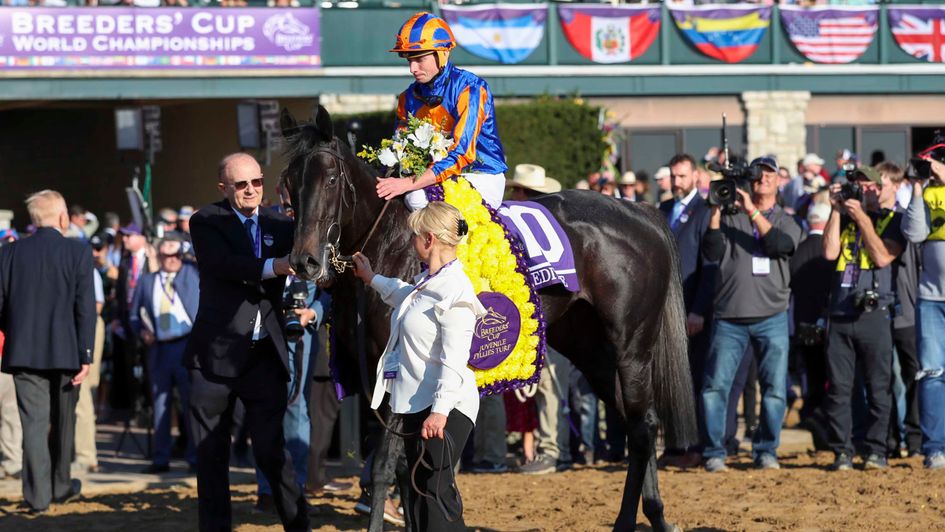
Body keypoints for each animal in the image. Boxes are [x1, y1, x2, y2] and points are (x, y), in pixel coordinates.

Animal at [276, 105, 696, 532]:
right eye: (289, 183)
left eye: (330, 179)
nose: (304, 261)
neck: (389, 243)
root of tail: (639, 211)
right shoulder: (375, 377)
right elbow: (407, 469)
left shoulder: (399, 368)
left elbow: (384, 467)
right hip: (590, 348)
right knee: (635, 422)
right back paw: (652, 516)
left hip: (631, 346)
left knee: (643, 428)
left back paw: (631, 519)